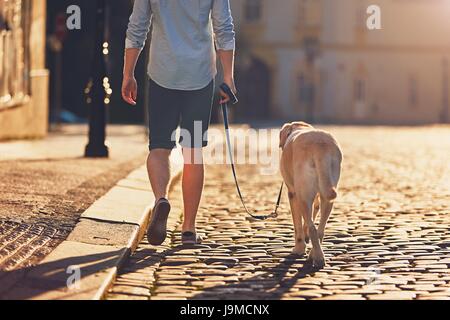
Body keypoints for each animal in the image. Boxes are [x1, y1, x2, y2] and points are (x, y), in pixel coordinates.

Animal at [280, 122, 342, 268]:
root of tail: (319, 145)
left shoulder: (293, 194)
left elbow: (297, 224)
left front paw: (299, 248)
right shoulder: (316, 197)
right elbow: (312, 214)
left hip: (303, 195)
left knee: (313, 227)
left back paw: (317, 258)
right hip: (328, 194)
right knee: (320, 229)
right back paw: (315, 254)